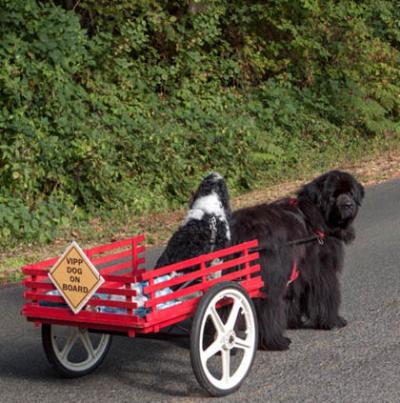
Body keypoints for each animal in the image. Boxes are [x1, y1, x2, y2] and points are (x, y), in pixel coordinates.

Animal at [230, 170, 364, 350]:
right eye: (333, 196)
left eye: (350, 193)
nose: (348, 205)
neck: (319, 216)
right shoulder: (322, 269)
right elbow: (328, 293)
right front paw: (334, 321)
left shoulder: (298, 270)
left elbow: (293, 297)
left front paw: (293, 321)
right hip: (270, 277)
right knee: (265, 309)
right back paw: (275, 341)